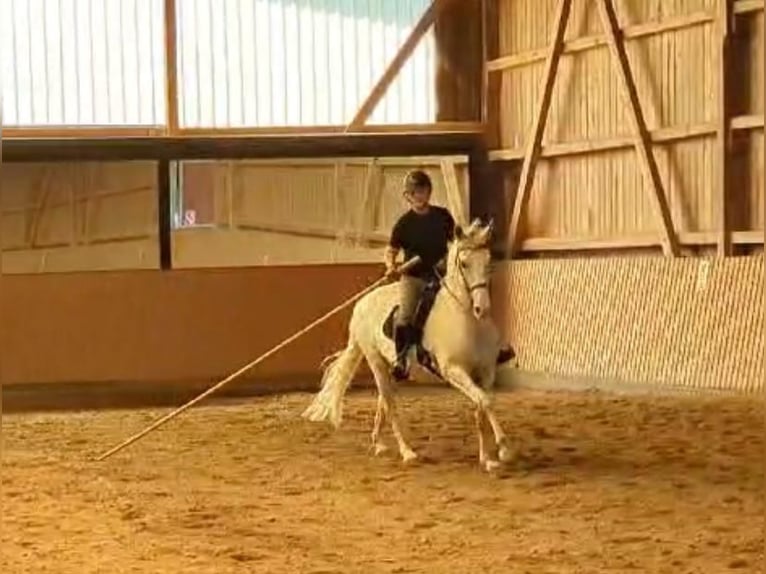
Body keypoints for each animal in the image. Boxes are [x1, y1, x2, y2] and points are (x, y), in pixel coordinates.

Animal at [304, 219, 516, 472]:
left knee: (383, 403)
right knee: (390, 404)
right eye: (464, 264)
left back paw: (379, 444)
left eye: (488, 261)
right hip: (375, 361)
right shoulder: (454, 370)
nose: (481, 309)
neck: (465, 320)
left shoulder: (486, 372)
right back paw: (407, 452)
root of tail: (362, 304)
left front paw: (487, 458)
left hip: (392, 367)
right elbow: (485, 401)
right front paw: (504, 449)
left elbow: (481, 409)